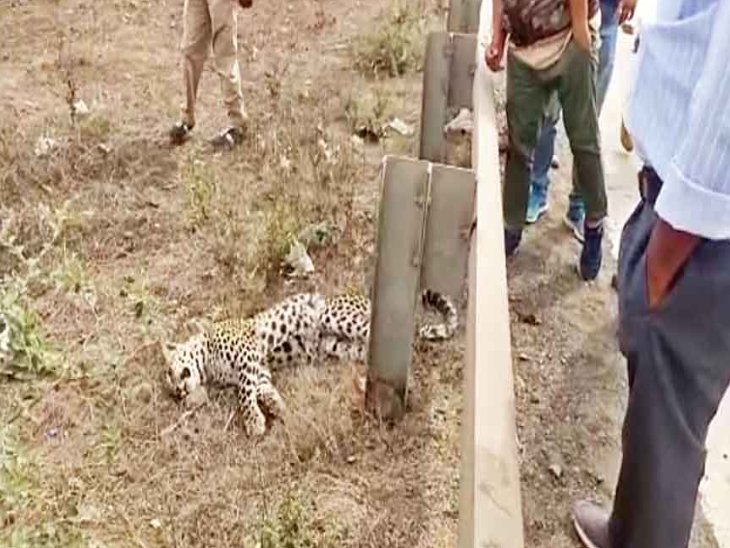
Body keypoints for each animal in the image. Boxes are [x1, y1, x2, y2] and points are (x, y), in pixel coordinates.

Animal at [162, 290, 458, 437]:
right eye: (171, 385)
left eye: (169, 372)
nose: (177, 390)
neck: (207, 365)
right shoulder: (259, 369)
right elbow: (261, 388)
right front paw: (276, 406)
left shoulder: (248, 355)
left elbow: (244, 393)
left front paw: (254, 423)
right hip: (339, 346)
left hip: (332, 315)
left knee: (398, 337)